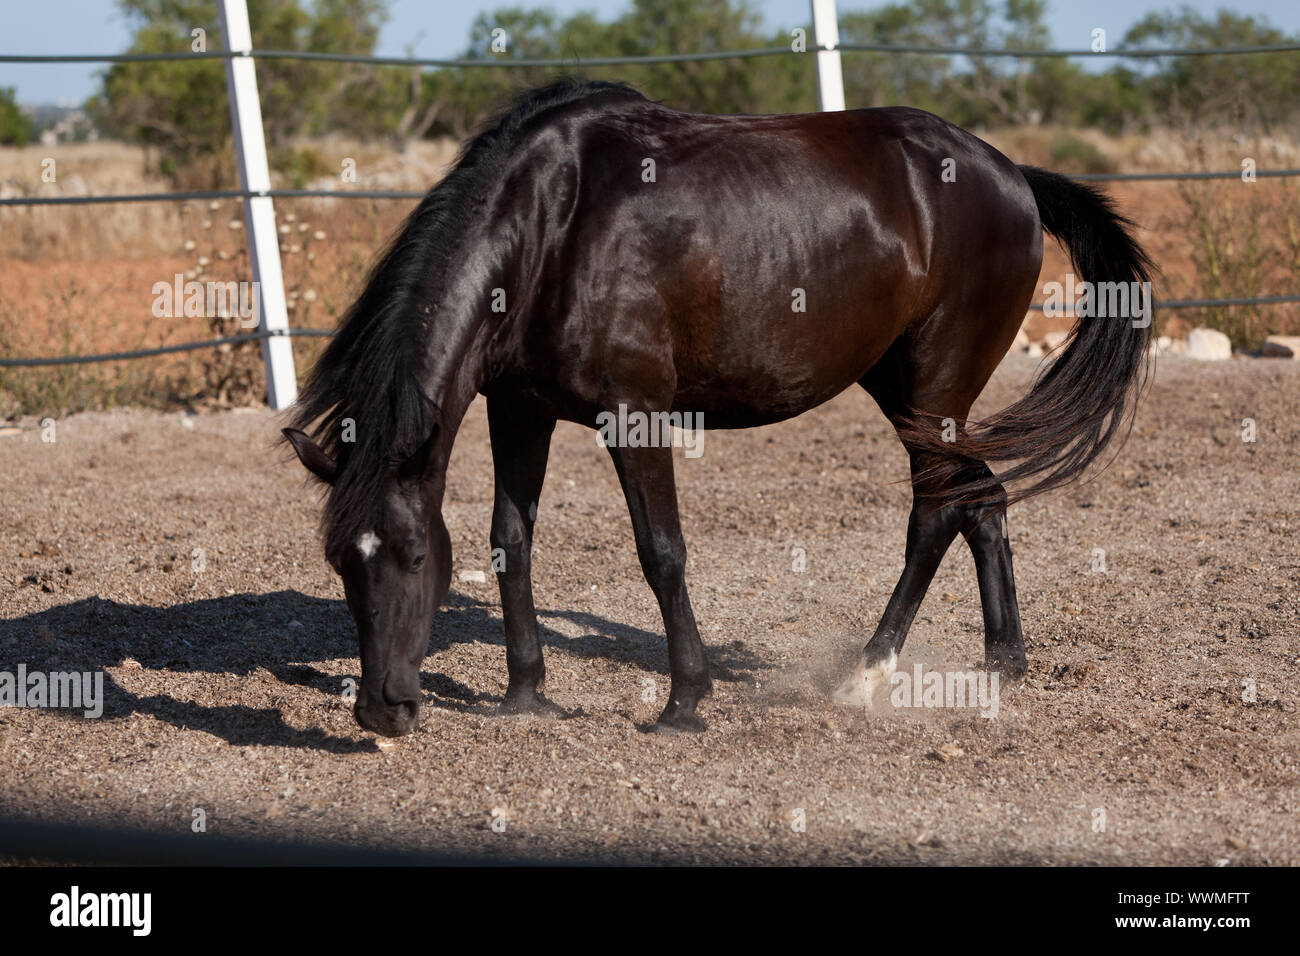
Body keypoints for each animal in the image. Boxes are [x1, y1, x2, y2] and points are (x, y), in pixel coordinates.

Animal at [283, 79, 1153, 737]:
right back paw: (1002, 663)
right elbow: (510, 543)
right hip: (904, 390)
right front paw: (525, 694)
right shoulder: (518, 411)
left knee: (937, 513)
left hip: (933, 393)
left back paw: (867, 673)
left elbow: (661, 551)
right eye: (341, 561)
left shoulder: (634, 415)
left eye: (413, 558)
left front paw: (684, 702)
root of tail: (1011, 175)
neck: (551, 228)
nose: (380, 710)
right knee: (983, 502)